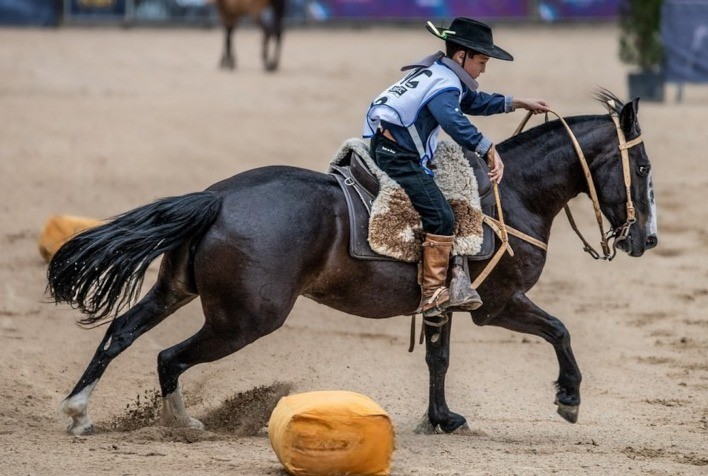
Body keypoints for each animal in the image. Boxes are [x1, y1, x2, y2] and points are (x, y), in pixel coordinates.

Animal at [48, 91, 660, 436]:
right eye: (644, 168)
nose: (648, 240)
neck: (512, 196)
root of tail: (216, 197)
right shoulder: (500, 304)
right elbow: (559, 330)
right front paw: (569, 399)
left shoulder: (443, 305)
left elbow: (438, 360)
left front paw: (442, 419)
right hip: (243, 320)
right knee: (169, 356)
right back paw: (183, 423)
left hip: (177, 289)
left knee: (122, 331)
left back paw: (79, 411)